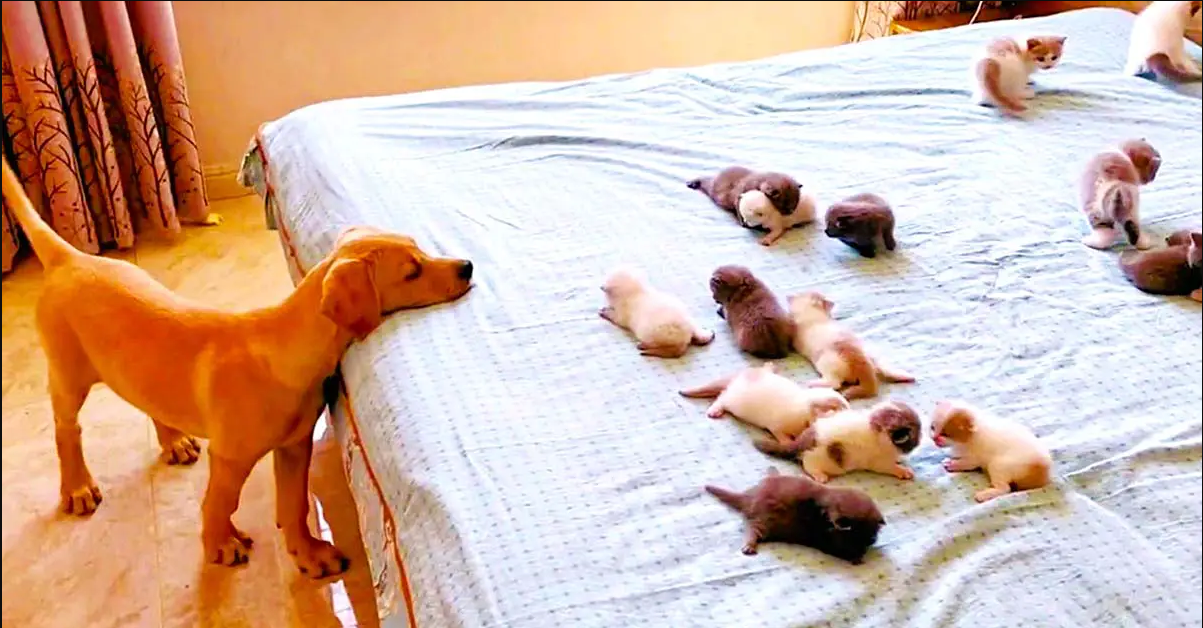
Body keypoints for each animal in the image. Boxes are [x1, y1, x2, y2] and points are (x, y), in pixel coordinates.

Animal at [4, 153, 473, 575]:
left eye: (419, 248)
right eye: (412, 272)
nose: (467, 266)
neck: (283, 352)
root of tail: (70, 257)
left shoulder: (294, 446)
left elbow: (294, 501)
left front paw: (306, 551)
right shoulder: (230, 457)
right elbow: (220, 501)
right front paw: (219, 543)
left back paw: (173, 440)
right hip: (68, 372)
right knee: (66, 429)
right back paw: (77, 487)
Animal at [683, 358, 851, 442]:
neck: (805, 415)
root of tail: (738, 377)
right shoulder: (776, 427)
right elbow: (782, 437)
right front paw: (790, 443)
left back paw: (770, 366)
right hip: (733, 400)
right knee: (721, 397)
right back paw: (714, 410)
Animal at [702, 461, 885, 560]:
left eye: (873, 536)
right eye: (862, 536)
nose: (872, 542)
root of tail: (750, 497)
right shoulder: (831, 540)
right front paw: (857, 557)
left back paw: (772, 469)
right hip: (761, 521)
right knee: (751, 531)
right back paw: (748, 546)